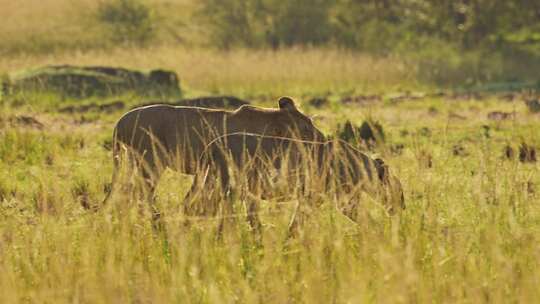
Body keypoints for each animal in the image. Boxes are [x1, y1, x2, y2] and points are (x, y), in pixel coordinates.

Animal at [103, 97, 326, 207]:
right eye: (307, 129)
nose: (323, 139)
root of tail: (119, 122)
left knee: (129, 192)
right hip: (150, 161)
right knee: (140, 195)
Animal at [187, 133, 404, 235]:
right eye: (399, 189)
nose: (402, 206)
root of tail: (211, 145)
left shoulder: (313, 199)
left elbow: (296, 223)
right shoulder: (340, 201)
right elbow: (366, 221)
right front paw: (377, 233)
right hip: (225, 188)